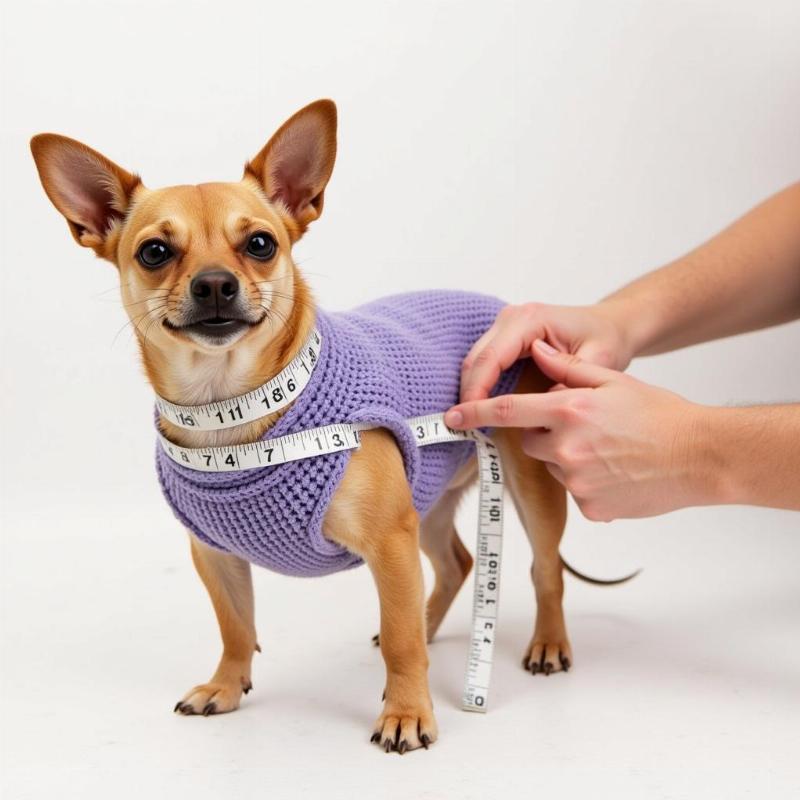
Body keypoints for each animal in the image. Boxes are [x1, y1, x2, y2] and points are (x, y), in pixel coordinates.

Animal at [32, 100, 608, 756]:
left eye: (260, 243)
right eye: (154, 252)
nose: (214, 283)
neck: (231, 412)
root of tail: (504, 309)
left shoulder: (388, 541)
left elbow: (403, 642)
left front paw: (407, 712)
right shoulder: (216, 556)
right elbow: (236, 626)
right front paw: (225, 686)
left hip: (527, 484)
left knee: (544, 569)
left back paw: (547, 643)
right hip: (428, 498)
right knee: (457, 565)